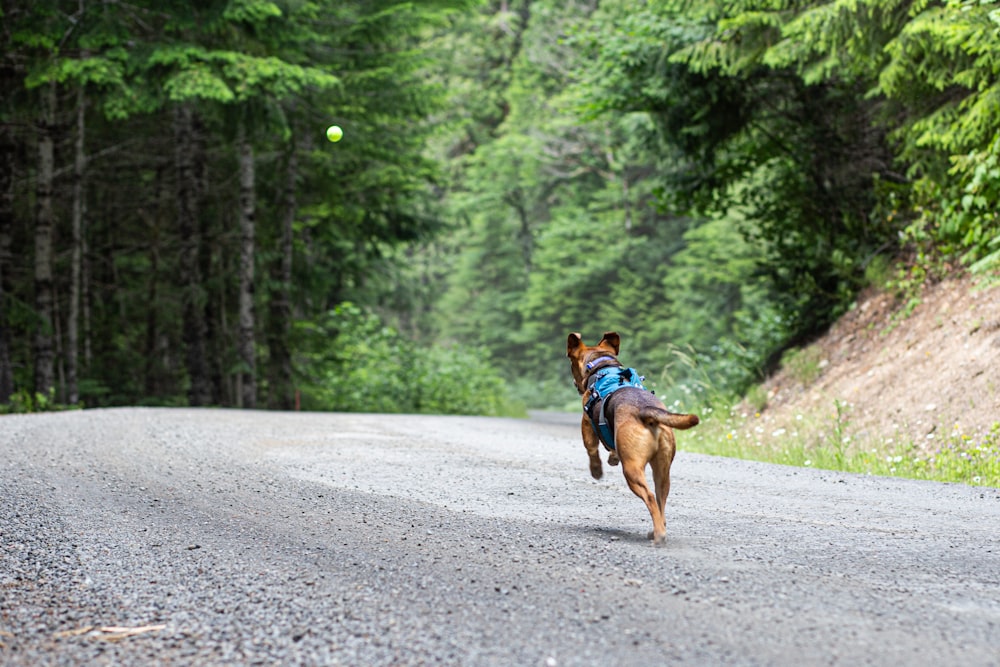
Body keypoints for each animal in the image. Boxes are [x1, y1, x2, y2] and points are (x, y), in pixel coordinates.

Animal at [568, 332, 700, 544]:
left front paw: (596, 471)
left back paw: (658, 535)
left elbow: (592, 451)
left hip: (632, 470)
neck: (603, 366)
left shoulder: (587, 424)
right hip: (663, 470)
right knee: (661, 500)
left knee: (650, 497)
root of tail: (645, 411)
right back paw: (657, 529)